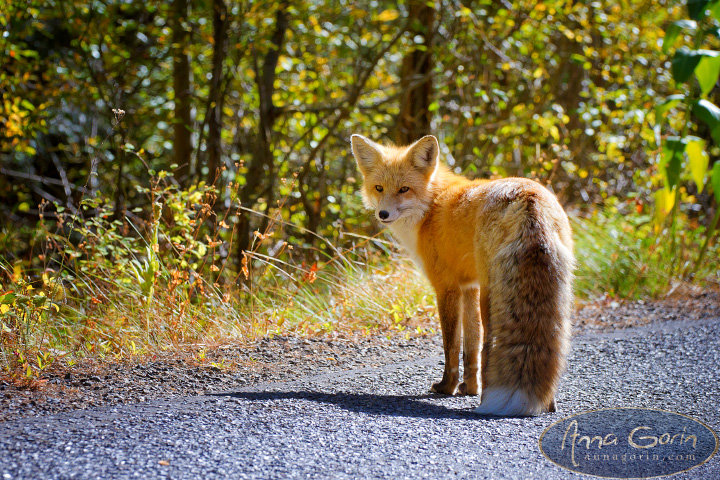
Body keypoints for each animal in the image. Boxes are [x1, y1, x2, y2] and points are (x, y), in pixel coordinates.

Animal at [350, 133, 572, 414]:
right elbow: (471, 348)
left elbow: (452, 347)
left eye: (404, 189)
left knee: (490, 347)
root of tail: (528, 198)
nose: (383, 214)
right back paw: (547, 402)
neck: (430, 207)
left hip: (491, 297)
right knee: (549, 342)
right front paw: (470, 388)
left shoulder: (447, 287)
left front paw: (448, 387)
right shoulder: (469, 287)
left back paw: (488, 400)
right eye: (379, 188)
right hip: (552, 296)